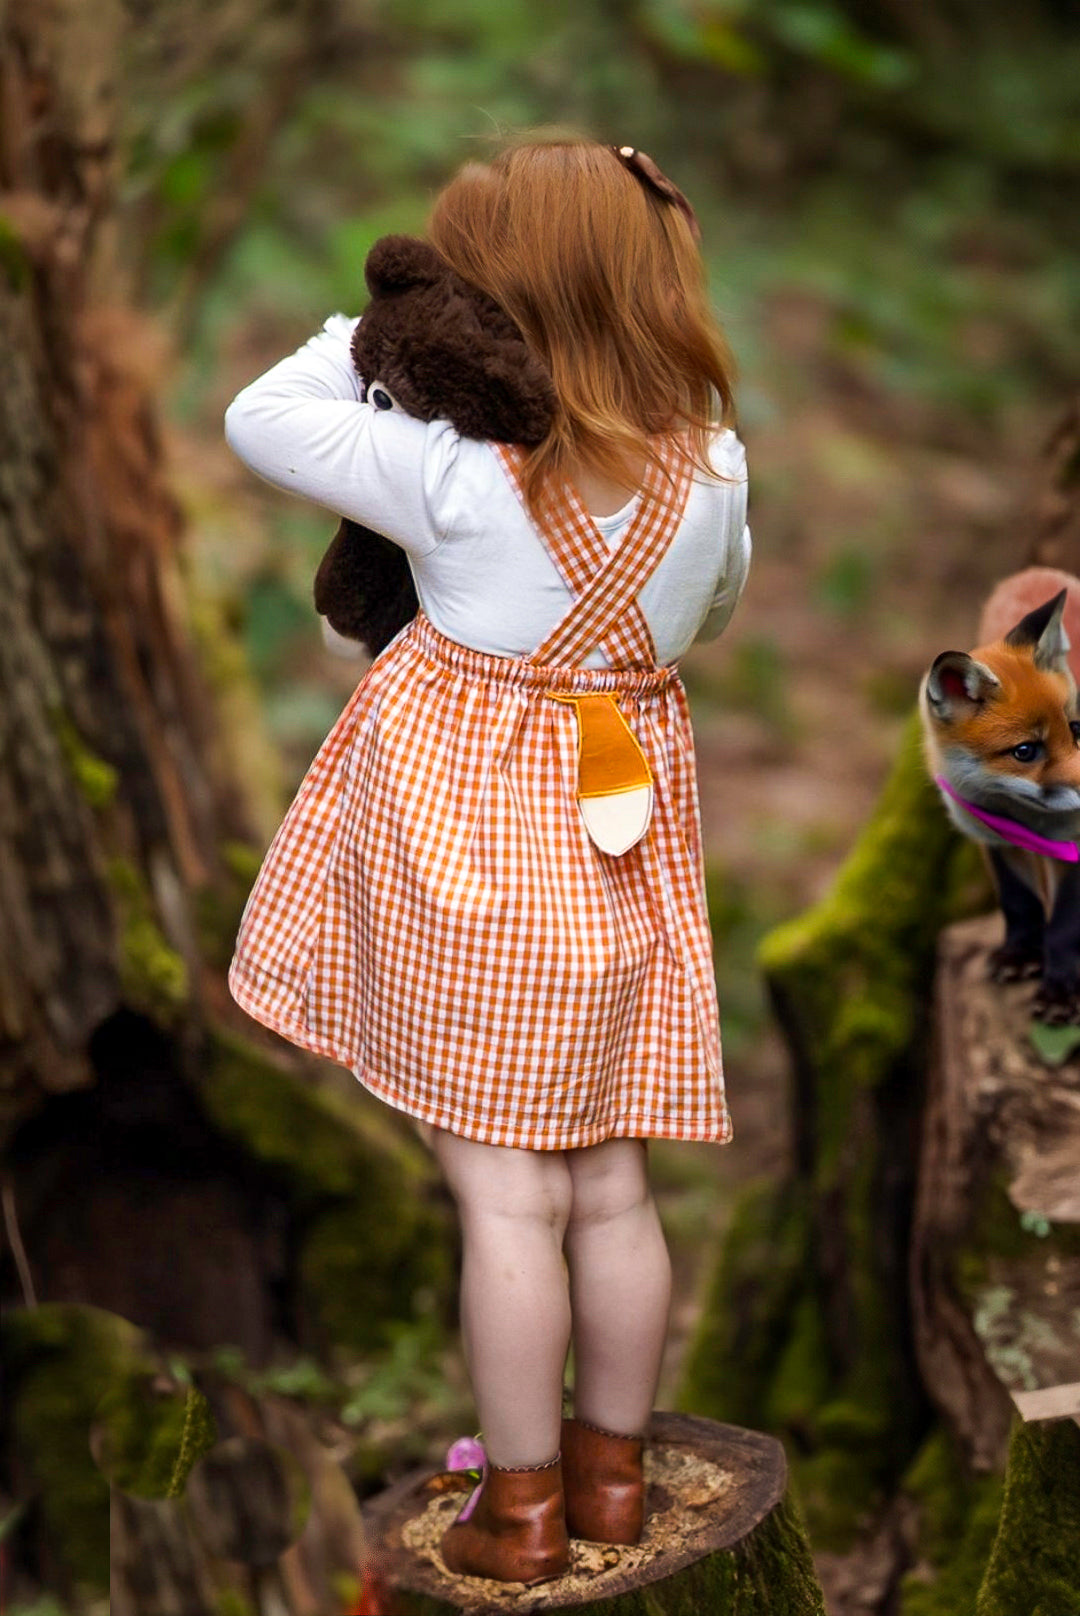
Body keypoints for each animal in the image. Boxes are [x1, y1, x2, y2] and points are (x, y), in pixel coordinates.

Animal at [924, 568, 1080, 1021]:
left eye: (1077, 730)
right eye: (1025, 751)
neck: (1024, 814)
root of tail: (1035, 574)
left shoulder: (1074, 844)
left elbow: (1065, 926)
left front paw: (1059, 991)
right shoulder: (992, 837)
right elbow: (1018, 902)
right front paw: (1021, 954)